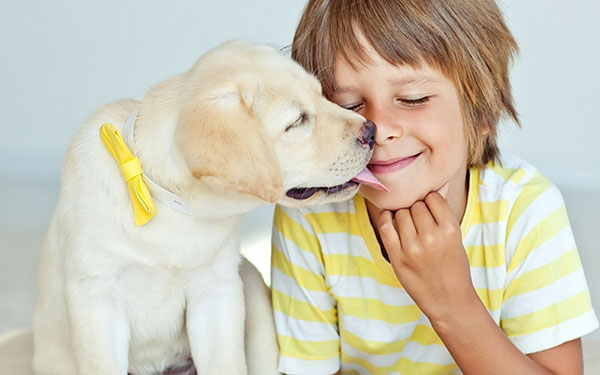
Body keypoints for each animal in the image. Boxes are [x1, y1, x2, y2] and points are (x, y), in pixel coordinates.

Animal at [31, 41, 380, 375]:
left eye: (323, 96)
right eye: (296, 122)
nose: (371, 130)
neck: (167, 203)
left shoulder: (217, 290)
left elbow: (226, 364)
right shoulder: (96, 297)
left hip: (250, 285)